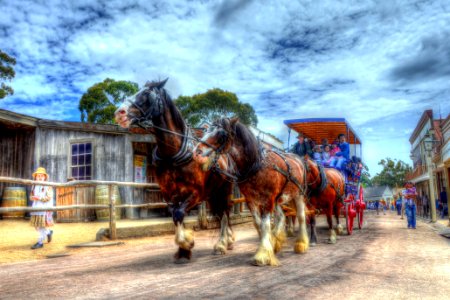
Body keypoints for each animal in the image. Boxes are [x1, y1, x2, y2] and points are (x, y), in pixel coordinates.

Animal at [115, 79, 236, 262]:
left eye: (146, 94)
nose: (119, 113)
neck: (172, 155)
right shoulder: (168, 193)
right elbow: (174, 215)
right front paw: (183, 249)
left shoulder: (196, 193)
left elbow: (179, 213)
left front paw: (187, 243)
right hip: (213, 192)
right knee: (221, 213)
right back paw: (227, 240)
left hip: (224, 189)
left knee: (225, 213)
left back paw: (223, 243)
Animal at [193, 118, 310, 266]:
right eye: (206, 130)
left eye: (221, 135)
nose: (196, 152)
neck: (256, 166)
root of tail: (298, 159)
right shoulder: (251, 199)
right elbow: (258, 223)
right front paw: (268, 247)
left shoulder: (267, 199)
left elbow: (265, 224)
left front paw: (262, 255)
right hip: (278, 199)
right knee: (281, 216)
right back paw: (276, 241)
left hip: (298, 195)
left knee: (301, 216)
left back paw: (301, 244)